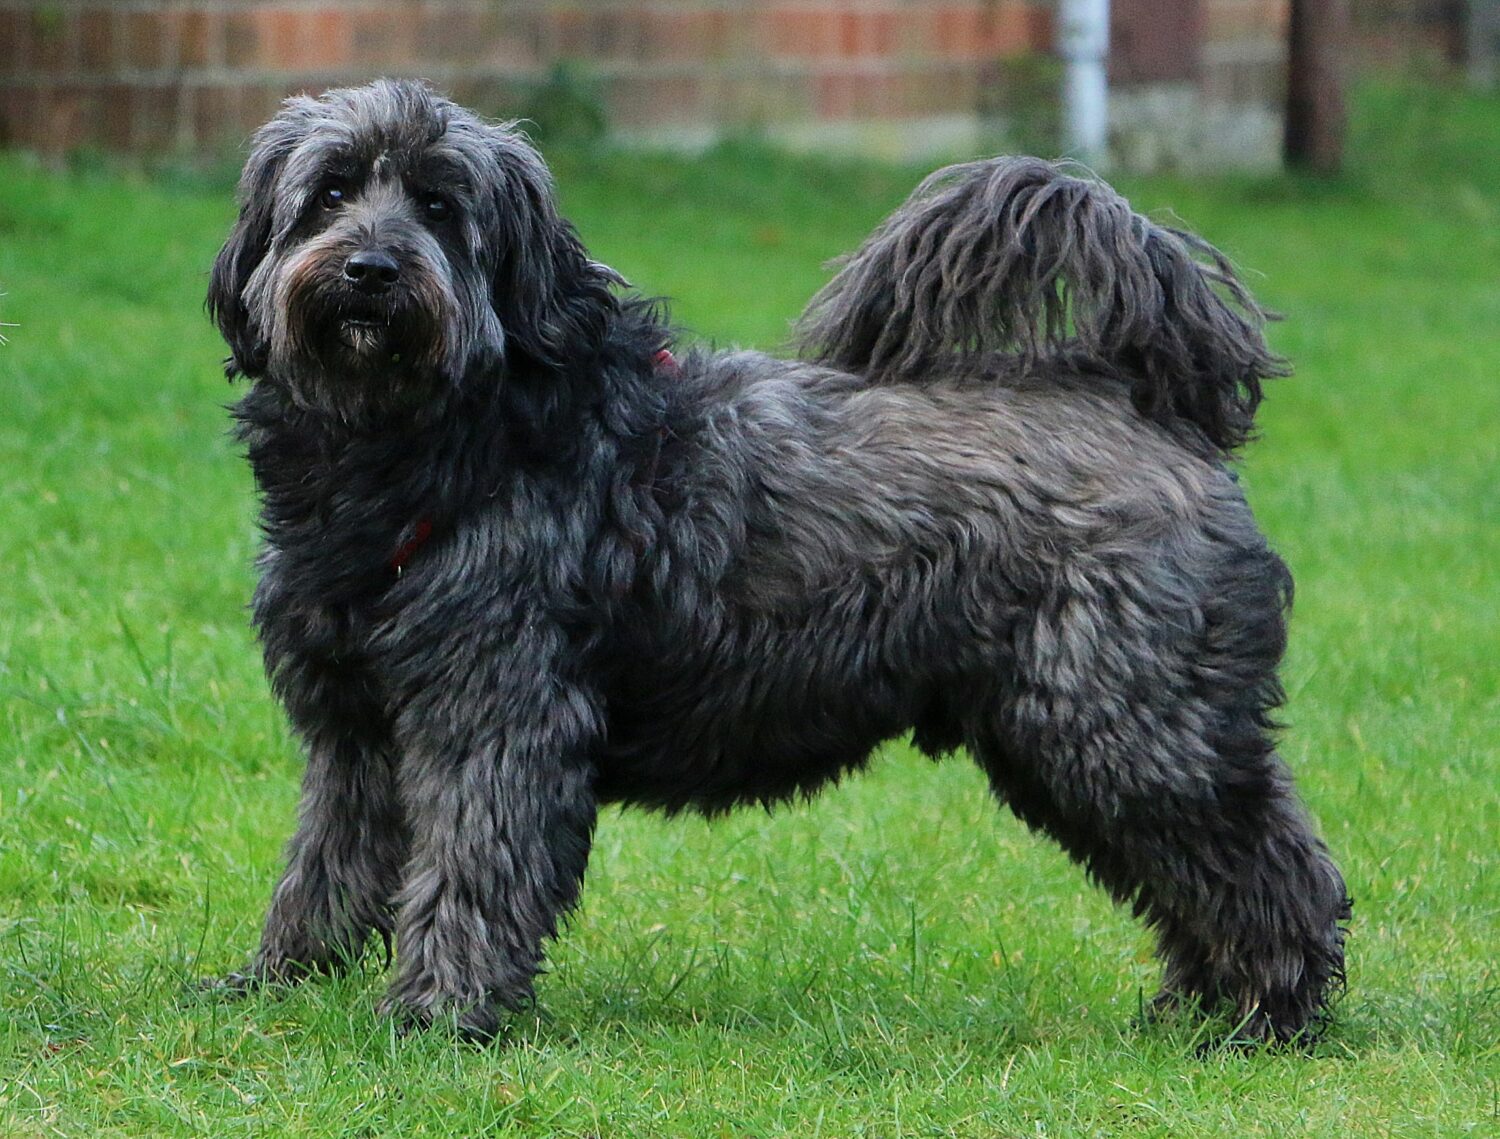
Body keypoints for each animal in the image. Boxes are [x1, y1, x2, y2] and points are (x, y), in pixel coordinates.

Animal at [208, 78, 1350, 1044]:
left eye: (443, 207)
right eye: (333, 191)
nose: (370, 270)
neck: (441, 446)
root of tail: (1153, 405)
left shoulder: (494, 717)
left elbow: (469, 872)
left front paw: (437, 1012)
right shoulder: (358, 732)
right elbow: (328, 867)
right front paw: (276, 983)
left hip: (1132, 731)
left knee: (1270, 865)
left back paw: (1268, 1017)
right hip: (1068, 741)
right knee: (1193, 877)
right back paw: (1198, 1008)